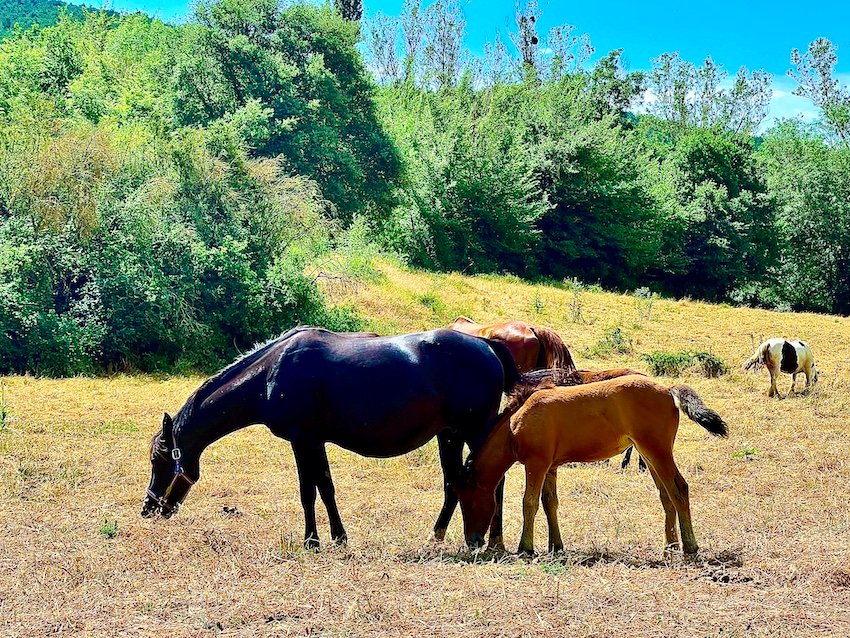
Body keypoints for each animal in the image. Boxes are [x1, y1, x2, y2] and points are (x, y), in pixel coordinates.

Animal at [142, 330, 516, 552]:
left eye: (159, 459)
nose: (149, 508)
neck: (271, 372)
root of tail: (487, 345)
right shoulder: (315, 442)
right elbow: (325, 487)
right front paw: (338, 537)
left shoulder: (302, 440)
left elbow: (308, 491)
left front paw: (312, 540)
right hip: (449, 436)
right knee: (454, 483)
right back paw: (440, 536)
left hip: (474, 432)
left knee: (492, 482)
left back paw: (492, 540)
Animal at [454, 378, 724, 556]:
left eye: (467, 501)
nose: (473, 541)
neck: (517, 422)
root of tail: (668, 390)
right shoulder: (550, 467)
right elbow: (550, 503)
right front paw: (556, 546)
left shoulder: (536, 465)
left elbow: (529, 503)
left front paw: (526, 547)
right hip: (649, 456)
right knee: (665, 495)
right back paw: (670, 546)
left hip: (658, 453)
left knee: (679, 489)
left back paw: (689, 546)